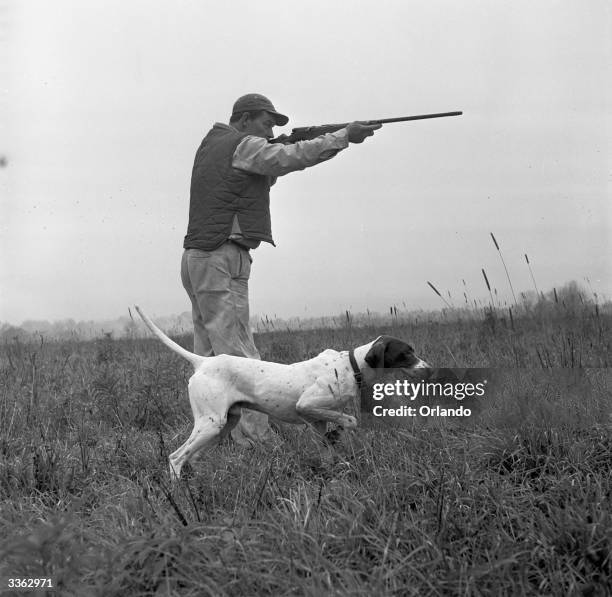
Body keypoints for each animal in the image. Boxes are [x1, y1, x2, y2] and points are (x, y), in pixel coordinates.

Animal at [134, 304, 430, 478]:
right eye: (405, 354)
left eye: (413, 350)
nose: (428, 369)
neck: (350, 365)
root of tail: (203, 362)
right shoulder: (307, 406)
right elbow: (350, 419)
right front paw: (340, 432)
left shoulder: (317, 419)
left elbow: (328, 445)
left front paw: (332, 465)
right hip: (211, 423)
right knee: (176, 457)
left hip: (224, 424)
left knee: (191, 457)